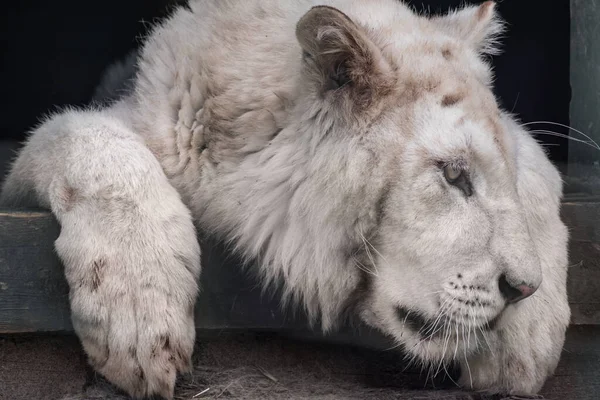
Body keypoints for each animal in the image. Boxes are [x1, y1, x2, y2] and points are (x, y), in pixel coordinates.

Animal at [0, 1, 568, 398]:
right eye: (453, 175)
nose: (523, 289)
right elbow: (90, 138)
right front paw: (138, 320)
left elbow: (538, 167)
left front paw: (526, 342)